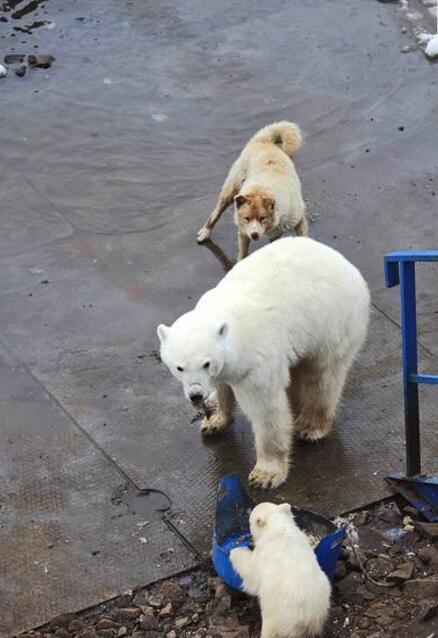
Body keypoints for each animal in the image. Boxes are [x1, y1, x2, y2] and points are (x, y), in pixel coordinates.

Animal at [157, 238, 370, 492]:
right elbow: (222, 387)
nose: (196, 395)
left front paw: (265, 475)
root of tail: (347, 264)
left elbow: (266, 409)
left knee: (322, 375)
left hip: (332, 321)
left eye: (206, 363)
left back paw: (310, 425)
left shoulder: (257, 360)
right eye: (179, 367)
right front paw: (214, 419)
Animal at [198, 120, 308, 260]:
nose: (254, 235)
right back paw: (205, 232)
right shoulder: (244, 231)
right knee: (217, 211)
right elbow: (242, 254)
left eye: (262, 218)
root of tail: (263, 141)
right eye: (247, 218)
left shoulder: (297, 220)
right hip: (231, 189)